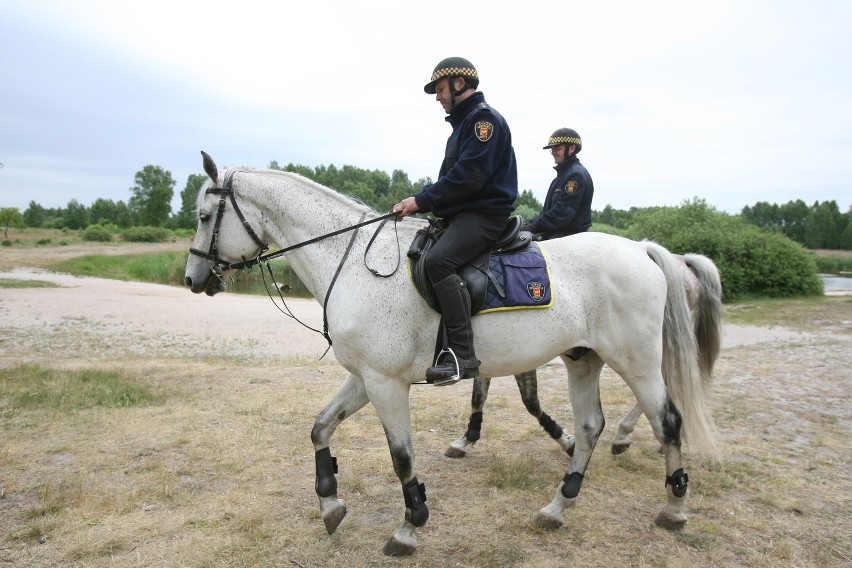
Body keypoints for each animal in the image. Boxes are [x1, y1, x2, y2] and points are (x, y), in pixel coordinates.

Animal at [185, 152, 720, 556]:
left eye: (205, 217)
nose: (193, 279)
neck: (352, 262)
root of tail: (642, 249)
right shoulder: (364, 377)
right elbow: (320, 427)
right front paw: (331, 505)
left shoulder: (385, 383)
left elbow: (401, 456)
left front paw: (409, 526)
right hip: (583, 358)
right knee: (590, 427)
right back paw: (557, 506)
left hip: (637, 362)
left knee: (667, 421)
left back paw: (674, 507)